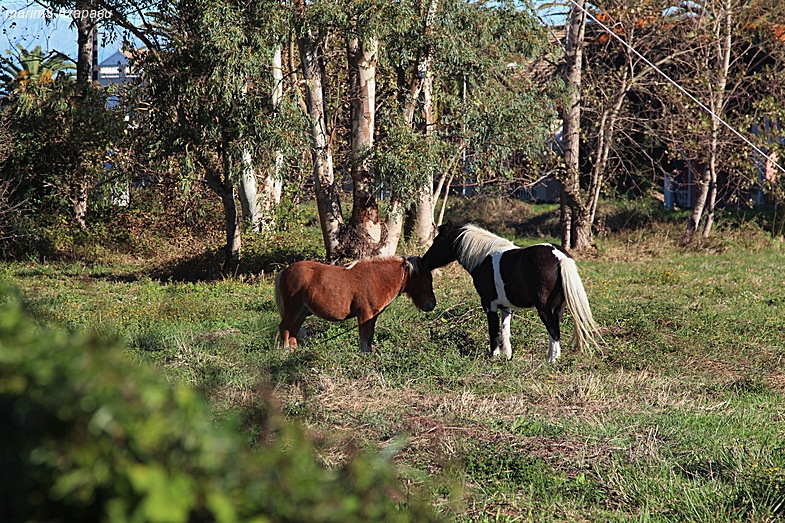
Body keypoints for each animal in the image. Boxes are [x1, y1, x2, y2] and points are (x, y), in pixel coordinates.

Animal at [274, 256, 434, 352]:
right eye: (427, 280)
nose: (431, 304)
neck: (376, 279)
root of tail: (285, 271)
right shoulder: (364, 315)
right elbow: (364, 336)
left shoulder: (372, 316)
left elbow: (369, 336)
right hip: (293, 310)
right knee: (285, 328)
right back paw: (286, 351)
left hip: (301, 312)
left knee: (294, 330)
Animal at [422, 222, 600, 364]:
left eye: (438, 241)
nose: (425, 261)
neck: (484, 257)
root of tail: (559, 257)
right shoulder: (505, 306)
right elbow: (505, 330)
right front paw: (508, 356)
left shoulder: (489, 304)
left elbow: (493, 330)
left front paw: (494, 356)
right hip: (559, 307)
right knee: (554, 330)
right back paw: (553, 358)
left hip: (543, 308)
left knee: (553, 330)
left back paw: (551, 361)